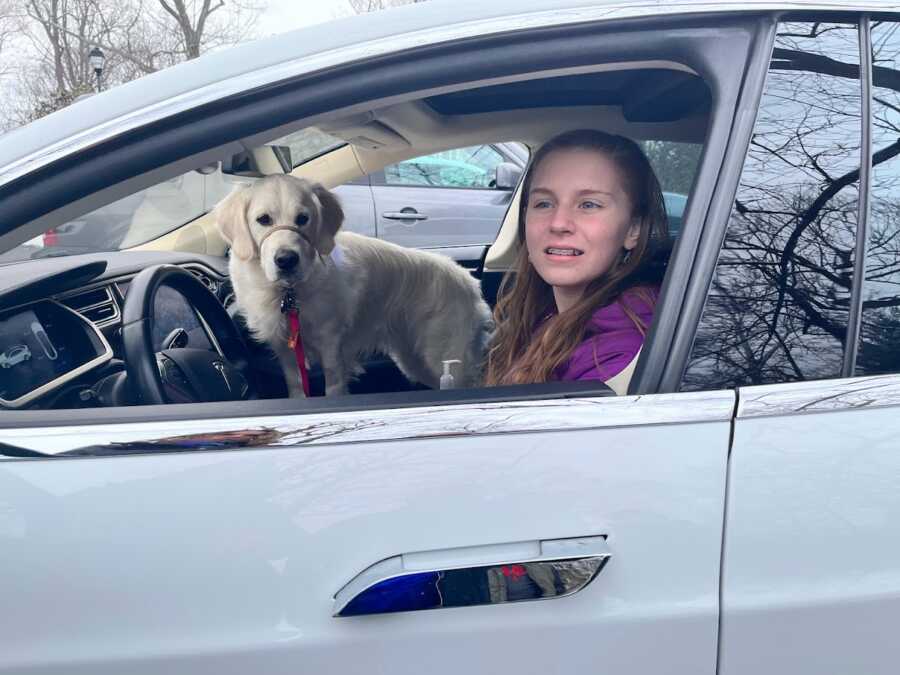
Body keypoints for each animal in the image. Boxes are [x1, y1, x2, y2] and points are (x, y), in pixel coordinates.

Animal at [214, 172, 492, 398]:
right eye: (263, 219)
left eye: (303, 218)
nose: (286, 260)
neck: (290, 293)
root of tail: (469, 282)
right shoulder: (286, 351)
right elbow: (296, 387)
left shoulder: (332, 347)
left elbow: (333, 388)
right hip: (415, 360)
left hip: (445, 358)